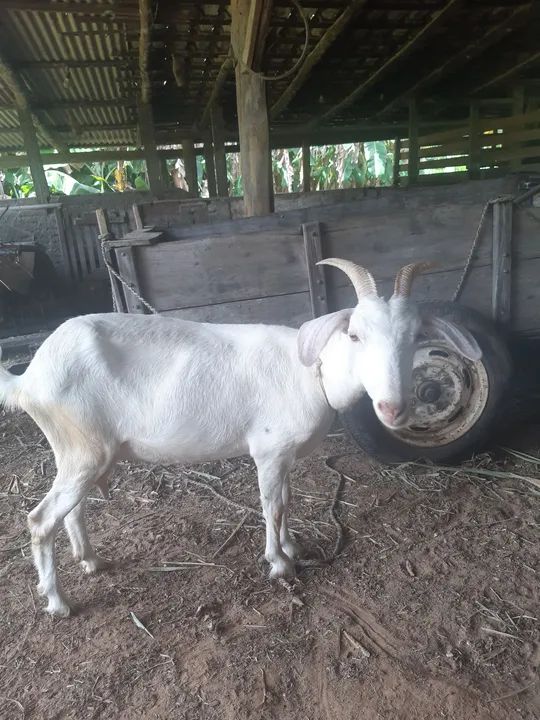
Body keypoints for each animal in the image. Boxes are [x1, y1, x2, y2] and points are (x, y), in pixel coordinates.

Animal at [0, 259, 481, 617]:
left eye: (416, 336)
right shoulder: (269, 450)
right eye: (355, 334)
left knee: (72, 512)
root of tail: (31, 376)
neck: (314, 372)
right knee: (40, 520)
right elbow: (273, 504)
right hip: (82, 446)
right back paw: (58, 602)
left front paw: (291, 544)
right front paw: (279, 564)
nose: (393, 409)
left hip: (83, 452)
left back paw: (91, 561)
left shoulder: (284, 456)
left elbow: (286, 500)